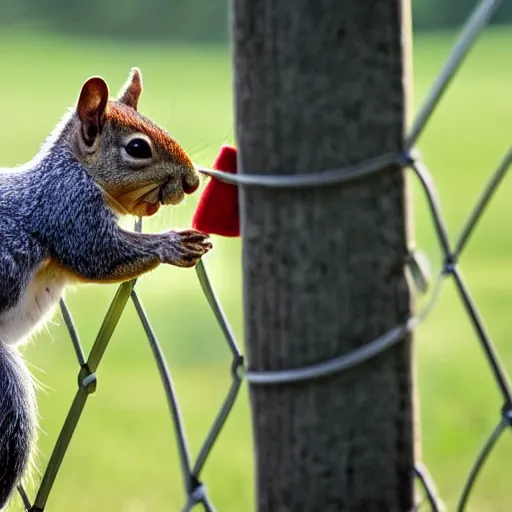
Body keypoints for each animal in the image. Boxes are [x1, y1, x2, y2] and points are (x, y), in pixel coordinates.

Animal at [0, 66, 212, 506]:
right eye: (138, 148)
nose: (191, 183)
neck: (75, 168)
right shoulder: (68, 209)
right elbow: (99, 254)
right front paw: (171, 244)